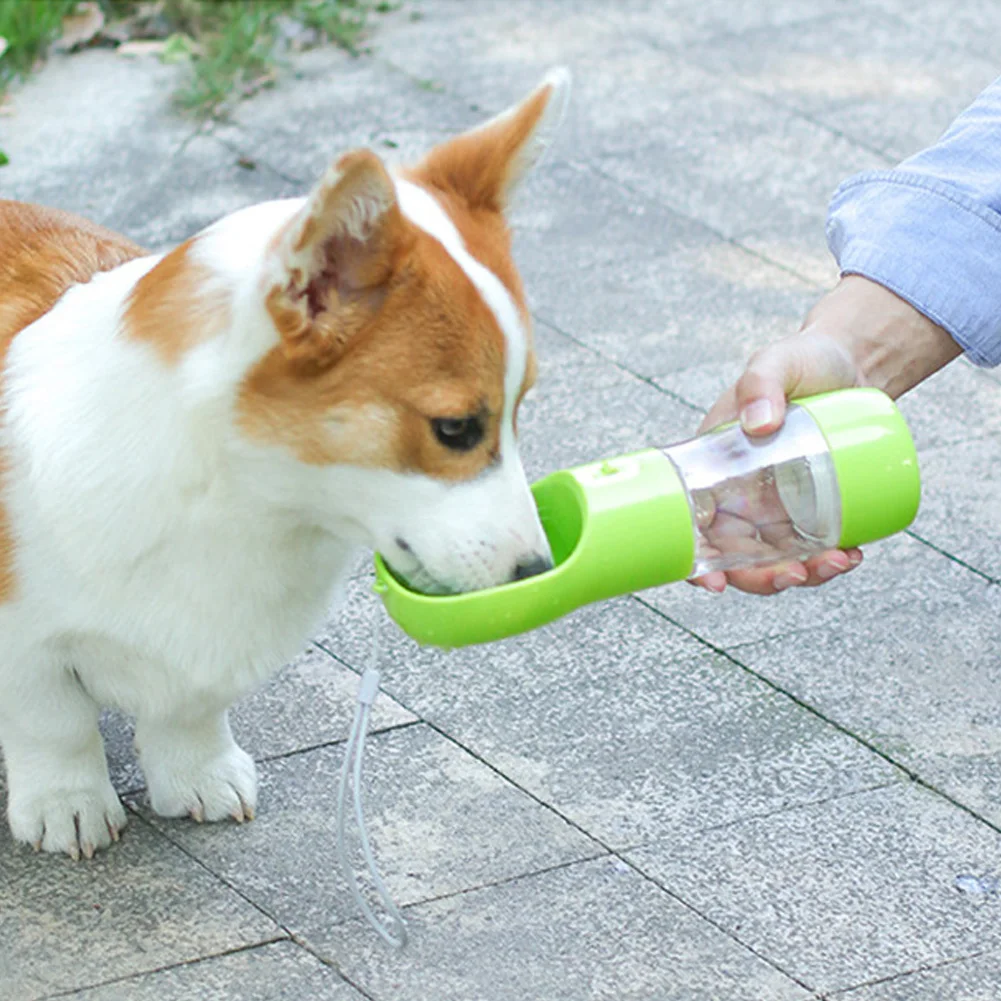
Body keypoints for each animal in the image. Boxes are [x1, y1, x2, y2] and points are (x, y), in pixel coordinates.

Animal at [0, 68, 568, 860]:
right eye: (455, 429)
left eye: (520, 410)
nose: (537, 572)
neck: (241, 501)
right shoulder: (22, 644)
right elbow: (51, 721)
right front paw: (68, 806)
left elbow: (190, 710)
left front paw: (199, 776)